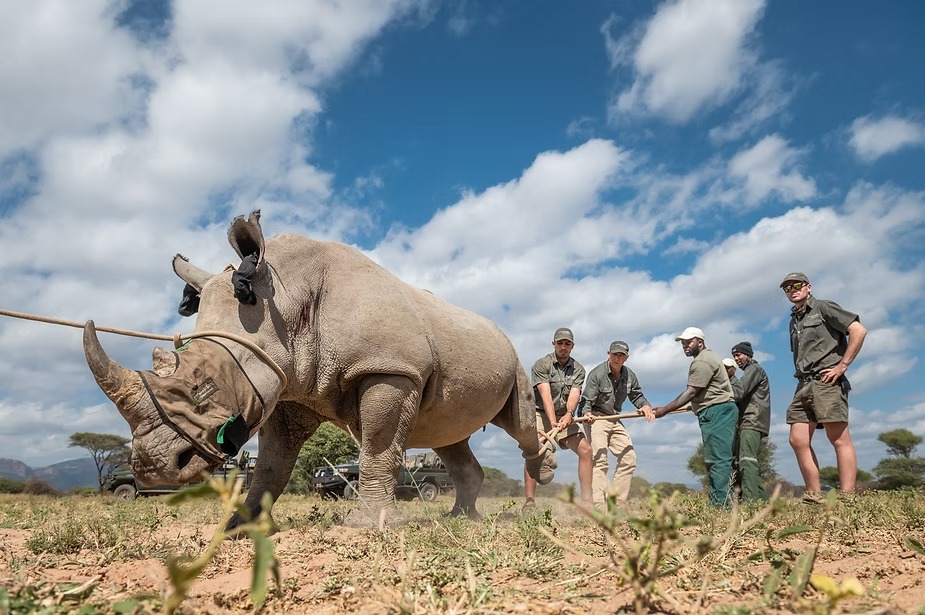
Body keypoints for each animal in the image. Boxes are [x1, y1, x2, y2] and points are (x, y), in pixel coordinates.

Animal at [83, 211, 556, 527]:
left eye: (205, 389)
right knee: (449, 436)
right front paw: (242, 526)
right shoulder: (287, 383)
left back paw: (542, 471)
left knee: (516, 420)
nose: (152, 467)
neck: (287, 292)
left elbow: (379, 448)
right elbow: (273, 462)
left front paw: (368, 527)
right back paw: (462, 518)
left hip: (512, 355)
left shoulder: (390, 368)